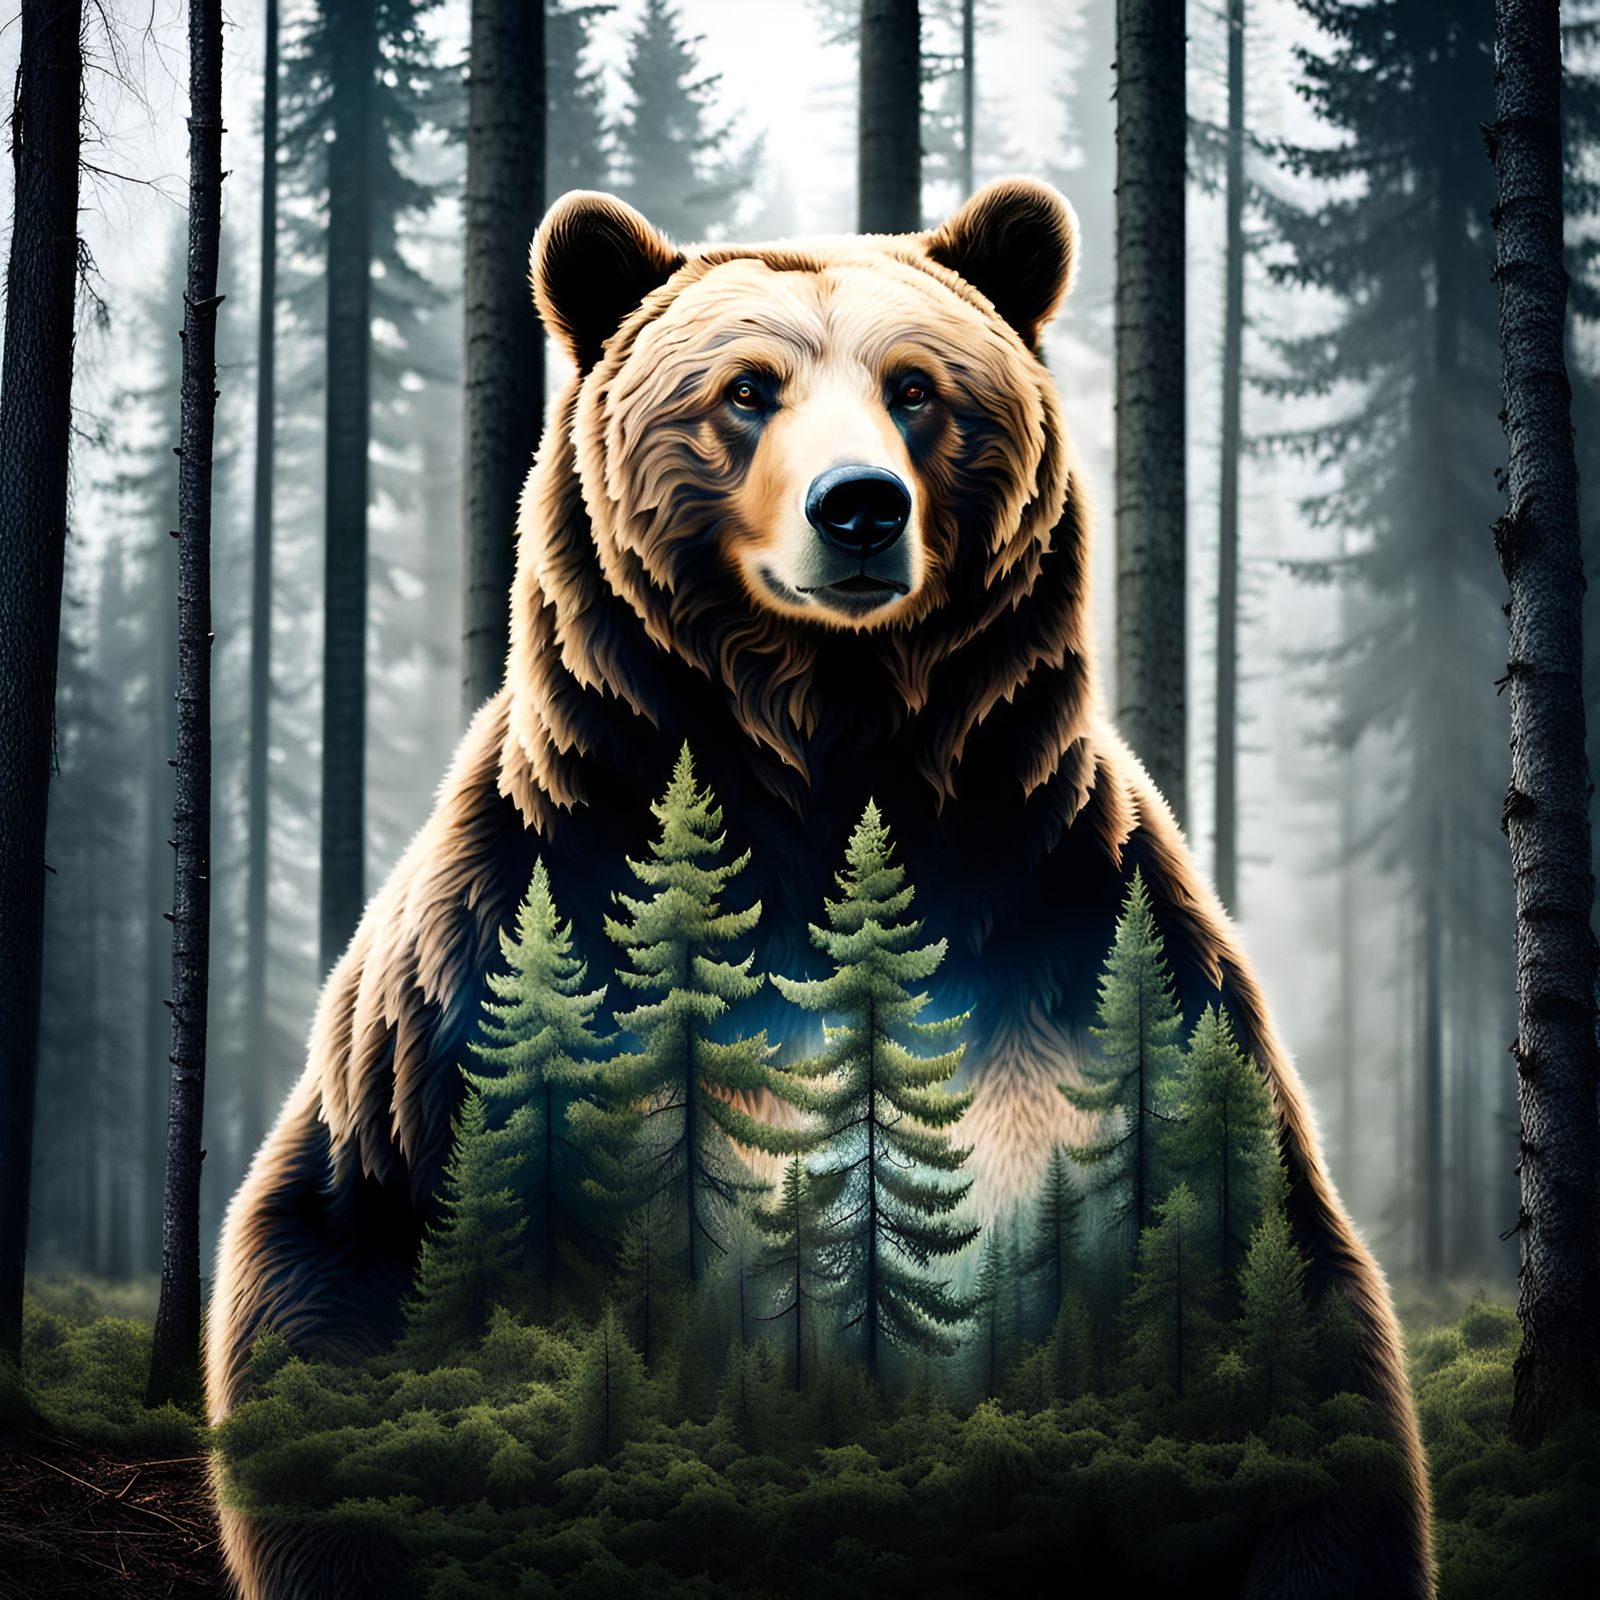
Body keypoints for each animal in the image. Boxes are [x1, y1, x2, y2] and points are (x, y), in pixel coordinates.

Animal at [207, 178, 1433, 1598]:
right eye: (746, 389)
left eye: (917, 388)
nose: (859, 507)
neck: (821, 759)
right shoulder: (495, 967)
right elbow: (345, 1282)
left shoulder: (1077, 938)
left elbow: (1264, 1302)